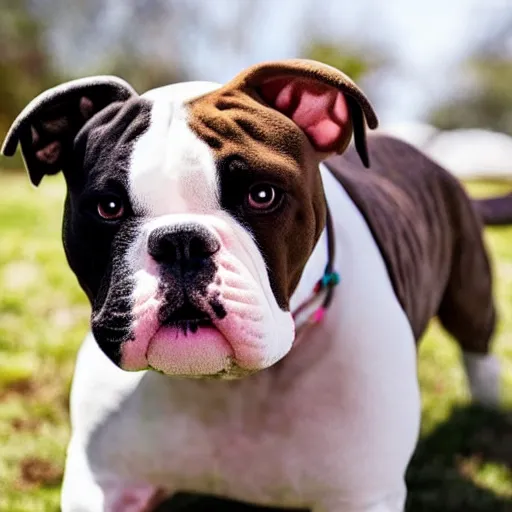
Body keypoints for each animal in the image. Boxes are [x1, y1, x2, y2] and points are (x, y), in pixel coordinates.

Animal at [0, 60, 506, 512]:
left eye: (262, 195)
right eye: (108, 207)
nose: (181, 242)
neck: (226, 385)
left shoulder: (362, 496)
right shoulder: (103, 485)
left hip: (469, 290)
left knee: (478, 345)